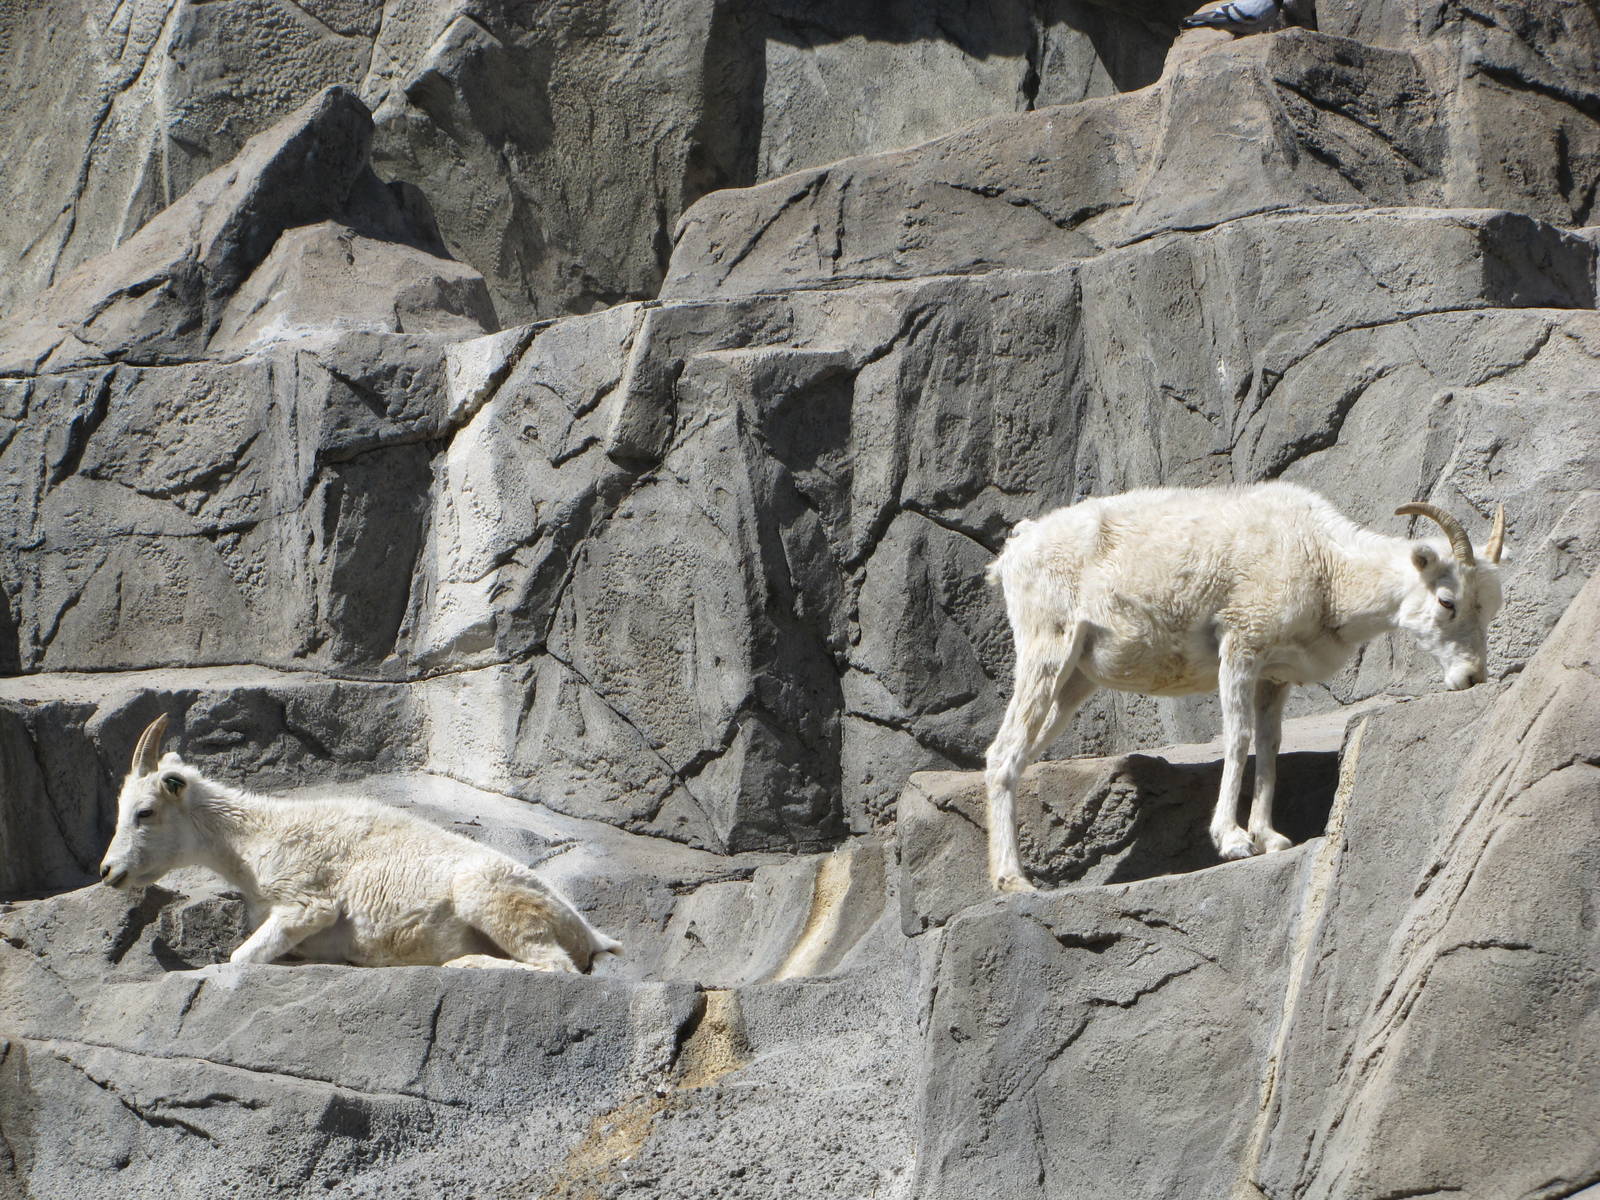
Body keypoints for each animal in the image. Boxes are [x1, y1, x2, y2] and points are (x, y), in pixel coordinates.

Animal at [99, 715, 623, 972]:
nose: (108, 872)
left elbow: (238, 959)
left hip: (489, 899)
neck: (255, 841)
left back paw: (466, 962)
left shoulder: (308, 905)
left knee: (556, 966)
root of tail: (593, 935)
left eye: (144, 812)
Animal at [983, 482, 1505, 892]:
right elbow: (1238, 739)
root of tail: (1015, 550)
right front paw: (1233, 842)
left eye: (1491, 608)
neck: (1324, 565)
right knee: (1004, 752)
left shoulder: (1273, 678)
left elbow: (1269, 747)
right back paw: (1015, 882)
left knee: (1014, 755)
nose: (1471, 677)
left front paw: (1269, 838)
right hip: (1046, 650)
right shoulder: (1239, 648)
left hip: (1073, 683)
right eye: (1447, 601)